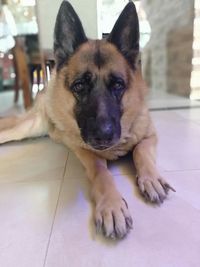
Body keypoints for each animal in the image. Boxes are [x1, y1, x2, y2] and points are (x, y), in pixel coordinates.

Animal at [0, 1, 175, 240]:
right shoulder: (85, 152)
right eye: (80, 86)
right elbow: (102, 173)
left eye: (118, 85)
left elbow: (141, 152)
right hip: (28, 128)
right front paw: (111, 205)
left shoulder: (150, 136)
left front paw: (151, 178)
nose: (103, 134)